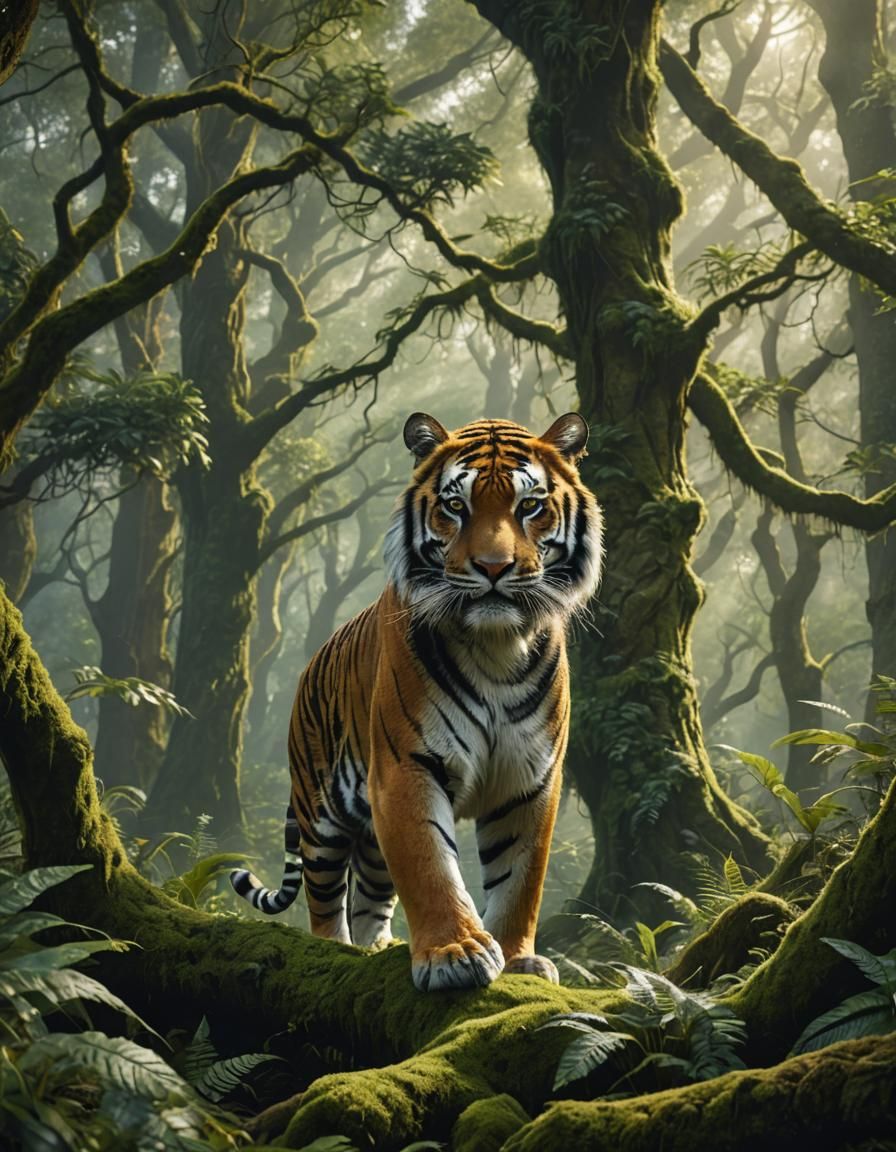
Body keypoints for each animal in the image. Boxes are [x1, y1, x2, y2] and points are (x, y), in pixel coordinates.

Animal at [231, 412, 603, 991]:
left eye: (529, 506)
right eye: (455, 506)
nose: (493, 567)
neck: (497, 648)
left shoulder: (530, 780)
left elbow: (519, 879)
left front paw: (518, 959)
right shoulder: (406, 767)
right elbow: (431, 867)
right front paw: (455, 954)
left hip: (367, 835)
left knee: (370, 896)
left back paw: (377, 948)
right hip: (320, 814)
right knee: (324, 897)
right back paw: (335, 950)